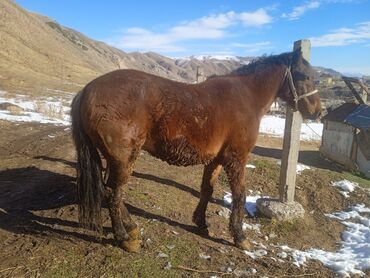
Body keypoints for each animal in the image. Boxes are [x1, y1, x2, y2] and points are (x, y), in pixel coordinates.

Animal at [71, 48, 320, 253]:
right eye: (305, 76)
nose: (318, 111)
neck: (247, 96)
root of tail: (87, 90)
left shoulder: (216, 160)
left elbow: (206, 190)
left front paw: (201, 223)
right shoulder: (236, 159)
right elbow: (239, 195)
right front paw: (239, 237)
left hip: (115, 159)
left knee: (111, 190)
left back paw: (131, 228)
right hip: (123, 159)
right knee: (114, 193)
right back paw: (124, 238)